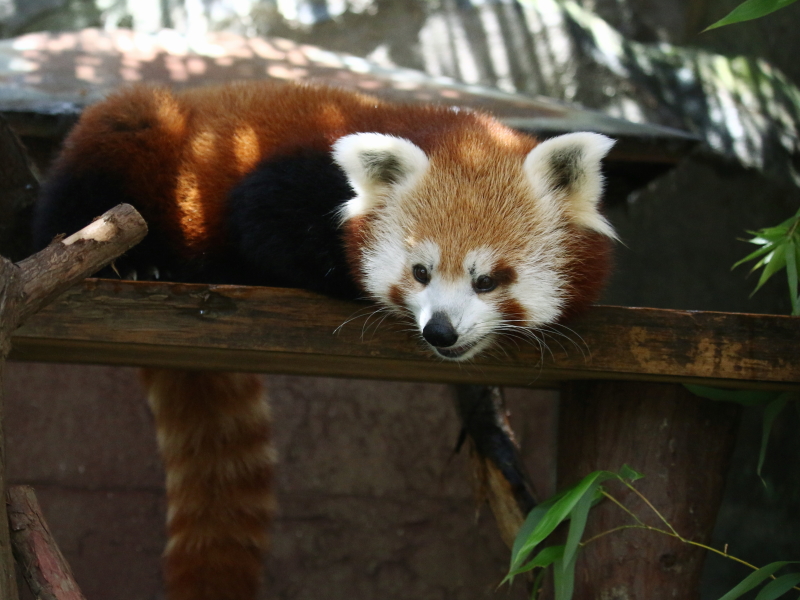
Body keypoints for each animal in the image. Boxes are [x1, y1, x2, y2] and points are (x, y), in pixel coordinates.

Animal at [31, 81, 616, 600]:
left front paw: (488, 420)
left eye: (487, 280)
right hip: (132, 141)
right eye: (420, 272)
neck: (451, 130)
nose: (440, 330)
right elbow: (260, 222)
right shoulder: (291, 178)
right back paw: (134, 262)